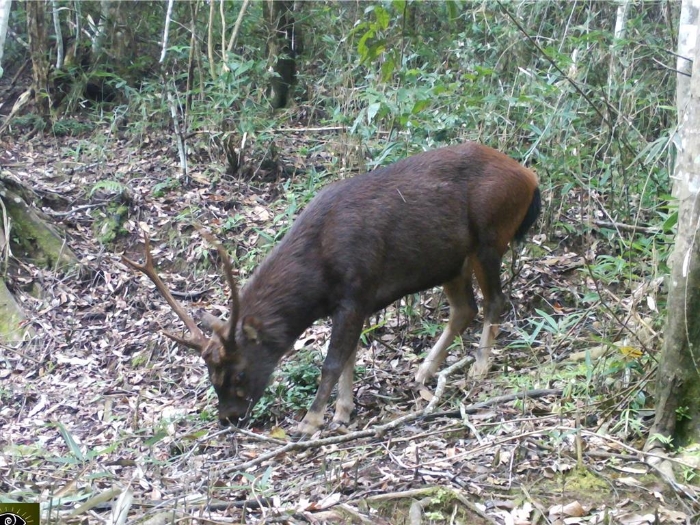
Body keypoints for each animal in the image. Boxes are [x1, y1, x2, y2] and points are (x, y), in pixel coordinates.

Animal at [124, 142, 540, 434]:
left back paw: (480, 365)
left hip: (490, 235)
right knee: (464, 308)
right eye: (211, 376)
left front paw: (310, 421)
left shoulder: (357, 292)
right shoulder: (354, 302)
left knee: (495, 300)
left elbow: (333, 361)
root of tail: (531, 178)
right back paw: (424, 372)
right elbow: (350, 357)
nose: (228, 417)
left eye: (239, 374)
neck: (317, 279)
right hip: (450, 259)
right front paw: (342, 412)